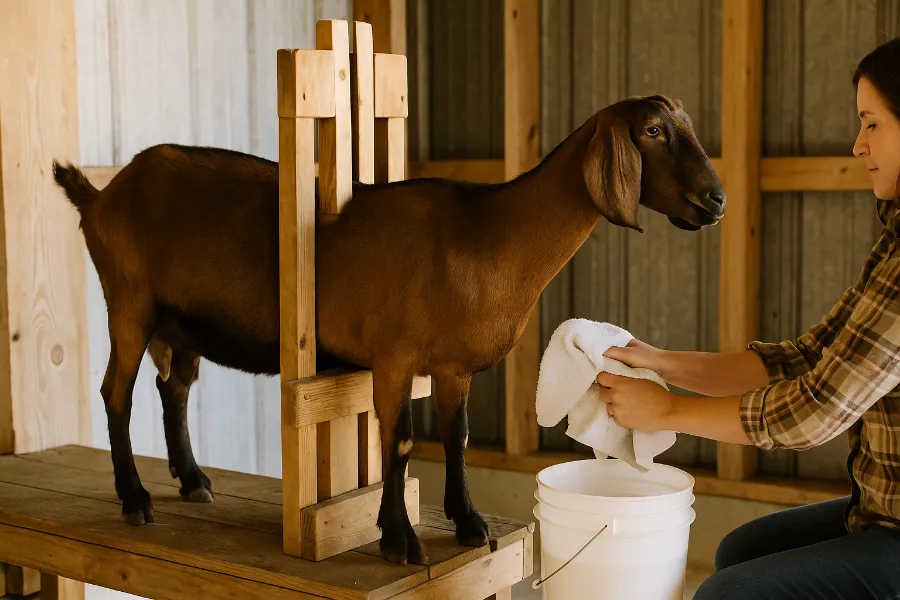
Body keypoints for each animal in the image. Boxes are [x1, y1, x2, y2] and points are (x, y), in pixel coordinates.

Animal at [52, 94, 724, 565]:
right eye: (654, 131)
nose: (715, 200)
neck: (487, 234)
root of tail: (101, 196)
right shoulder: (395, 356)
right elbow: (397, 442)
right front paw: (398, 538)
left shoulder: (451, 367)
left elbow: (455, 437)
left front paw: (468, 522)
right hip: (129, 304)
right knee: (116, 392)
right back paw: (135, 498)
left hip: (179, 323)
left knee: (175, 389)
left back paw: (192, 481)